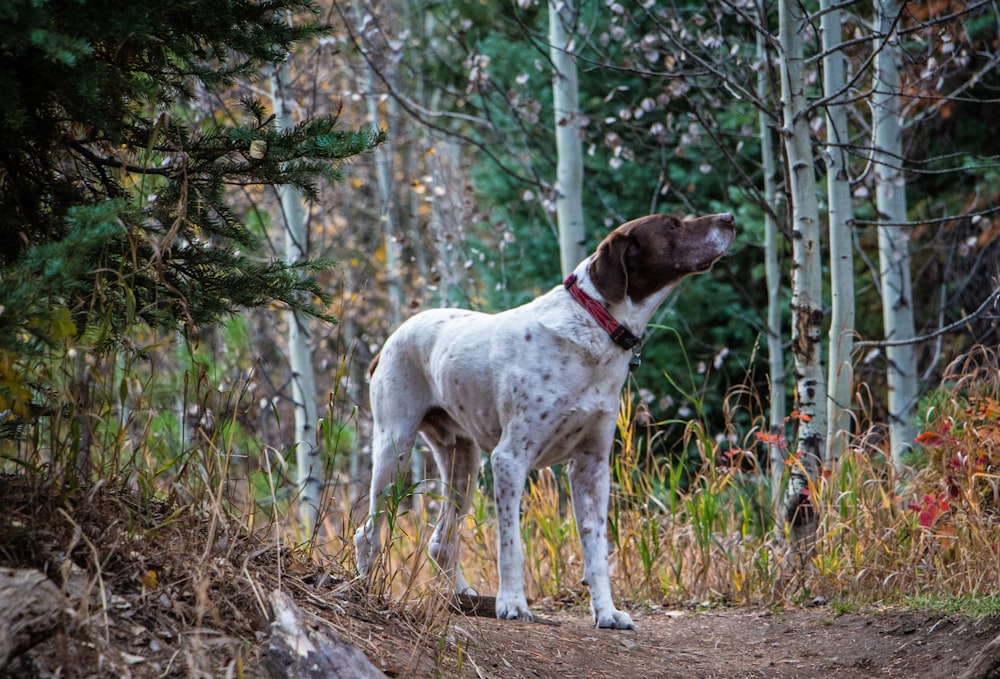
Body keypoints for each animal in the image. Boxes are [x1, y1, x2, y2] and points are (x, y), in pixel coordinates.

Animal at [354, 214, 736, 632]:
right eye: (671, 226)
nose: (729, 218)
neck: (595, 325)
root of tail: (388, 343)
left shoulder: (591, 467)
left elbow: (596, 549)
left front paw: (606, 611)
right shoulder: (509, 459)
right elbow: (511, 545)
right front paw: (512, 604)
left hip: (462, 463)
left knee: (442, 541)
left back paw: (462, 596)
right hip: (394, 448)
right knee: (367, 532)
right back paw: (364, 589)